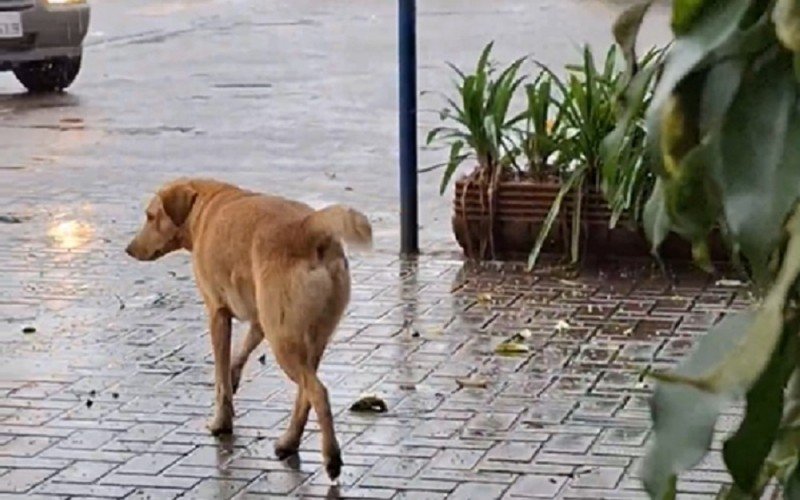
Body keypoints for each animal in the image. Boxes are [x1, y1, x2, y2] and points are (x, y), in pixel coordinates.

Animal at [125, 178, 372, 478]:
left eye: (150, 216)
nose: (129, 248)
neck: (203, 205)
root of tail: (310, 227)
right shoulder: (259, 318)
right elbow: (243, 349)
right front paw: (234, 377)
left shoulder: (218, 313)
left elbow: (220, 376)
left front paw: (221, 422)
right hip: (308, 337)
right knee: (305, 393)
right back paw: (290, 441)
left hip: (284, 342)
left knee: (318, 392)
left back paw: (331, 457)